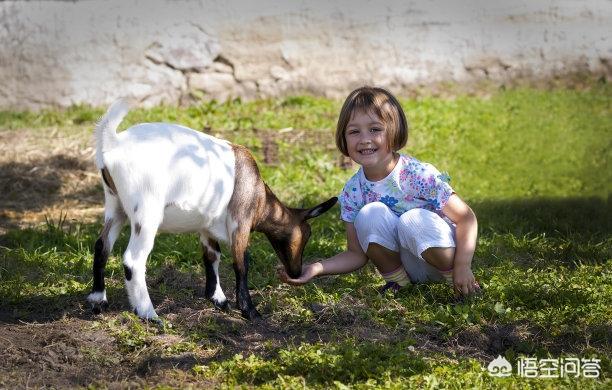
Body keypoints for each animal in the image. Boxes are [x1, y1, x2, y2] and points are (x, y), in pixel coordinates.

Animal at [86, 100, 338, 320]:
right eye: (307, 234)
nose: (296, 272)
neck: (259, 197)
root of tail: (114, 142)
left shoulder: (207, 227)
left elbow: (211, 256)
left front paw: (218, 299)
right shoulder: (240, 221)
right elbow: (241, 263)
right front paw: (249, 311)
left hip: (115, 206)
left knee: (102, 245)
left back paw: (98, 301)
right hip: (146, 213)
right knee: (133, 260)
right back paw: (148, 313)